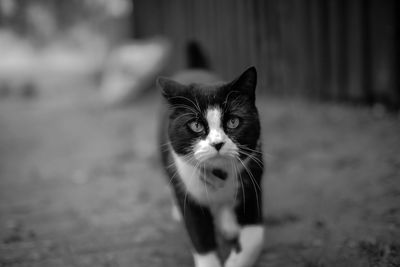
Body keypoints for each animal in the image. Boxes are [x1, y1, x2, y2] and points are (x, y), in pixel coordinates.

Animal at [158, 42, 264, 267]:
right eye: (196, 125)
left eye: (233, 122)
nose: (217, 143)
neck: (219, 173)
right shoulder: (189, 194)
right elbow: (200, 235)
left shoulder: (253, 177)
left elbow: (255, 236)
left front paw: (235, 261)